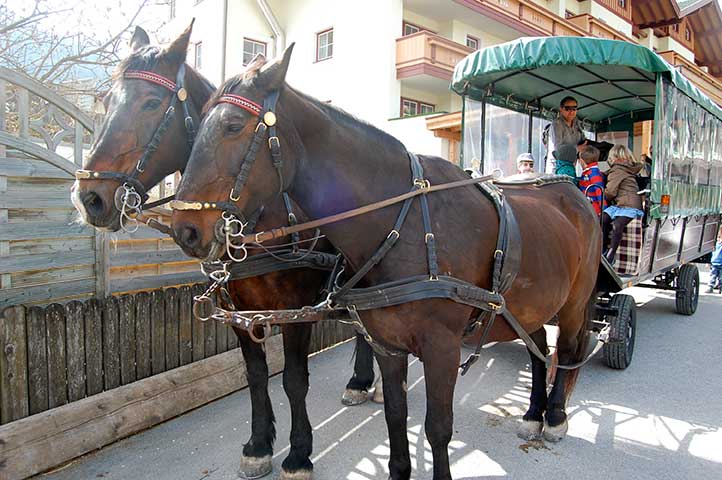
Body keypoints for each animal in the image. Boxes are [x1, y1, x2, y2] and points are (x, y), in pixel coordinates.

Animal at [72, 26, 374, 480]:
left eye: (151, 102)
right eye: (107, 101)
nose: (89, 197)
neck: (261, 214)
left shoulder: (298, 308)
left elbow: (294, 379)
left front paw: (299, 453)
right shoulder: (237, 308)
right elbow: (256, 374)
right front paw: (258, 444)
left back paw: (364, 381)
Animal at [172, 47, 600, 480]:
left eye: (232, 125)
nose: (185, 229)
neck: (404, 223)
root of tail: (574, 194)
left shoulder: (442, 347)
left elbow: (437, 427)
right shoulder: (387, 345)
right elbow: (396, 416)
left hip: (573, 305)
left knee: (567, 351)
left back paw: (555, 416)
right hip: (529, 306)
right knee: (539, 345)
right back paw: (533, 412)